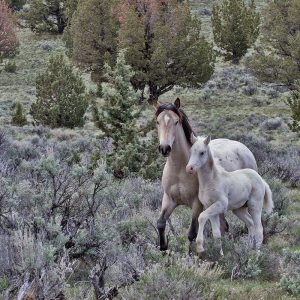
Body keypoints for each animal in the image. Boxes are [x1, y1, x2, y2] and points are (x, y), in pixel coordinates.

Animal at [155, 98, 258, 251]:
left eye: (176, 121)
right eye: (157, 121)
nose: (165, 148)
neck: (180, 169)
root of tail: (244, 148)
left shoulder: (197, 204)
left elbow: (192, 233)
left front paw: (191, 253)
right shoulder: (169, 199)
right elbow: (161, 223)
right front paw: (163, 250)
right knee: (224, 226)